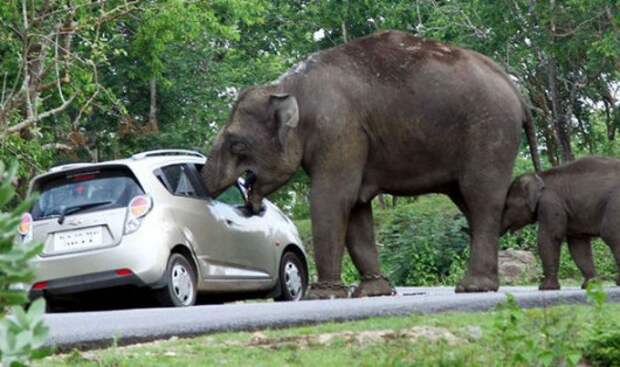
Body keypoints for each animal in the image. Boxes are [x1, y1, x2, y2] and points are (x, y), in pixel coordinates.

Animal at [202, 30, 536, 300]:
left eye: (236, 144)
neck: (287, 87)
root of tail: (516, 90)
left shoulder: (339, 129)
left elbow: (332, 198)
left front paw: (322, 296)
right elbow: (357, 208)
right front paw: (373, 292)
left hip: (489, 132)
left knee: (481, 198)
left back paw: (473, 287)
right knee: (471, 201)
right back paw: (487, 283)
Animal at [502, 155, 620, 290]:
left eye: (507, 206)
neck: (540, 175)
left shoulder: (550, 203)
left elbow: (549, 237)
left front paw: (546, 288)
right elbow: (578, 245)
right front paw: (590, 285)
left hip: (616, 202)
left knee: (611, 234)